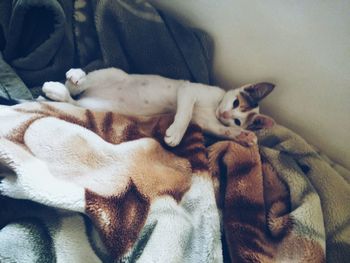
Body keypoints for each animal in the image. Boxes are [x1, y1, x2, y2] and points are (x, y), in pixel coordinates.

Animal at [42, 67, 274, 146]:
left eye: (237, 120)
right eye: (235, 102)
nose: (224, 113)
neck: (215, 106)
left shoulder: (208, 122)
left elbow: (221, 130)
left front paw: (244, 136)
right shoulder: (189, 89)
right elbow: (185, 113)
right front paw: (176, 134)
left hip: (98, 106)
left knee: (73, 100)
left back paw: (56, 92)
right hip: (114, 73)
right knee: (78, 85)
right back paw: (74, 76)